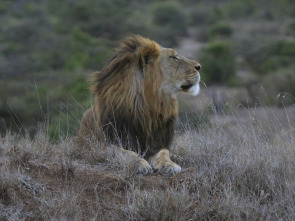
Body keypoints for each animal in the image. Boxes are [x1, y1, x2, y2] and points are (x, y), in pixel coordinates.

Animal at [77, 35, 202, 175]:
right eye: (174, 57)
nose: (199, 66)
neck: (149, 107)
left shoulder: (157, 143)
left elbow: (164, 153)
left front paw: (169, 165)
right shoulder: (106, 144)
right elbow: (125, 152)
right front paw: (140, 164)